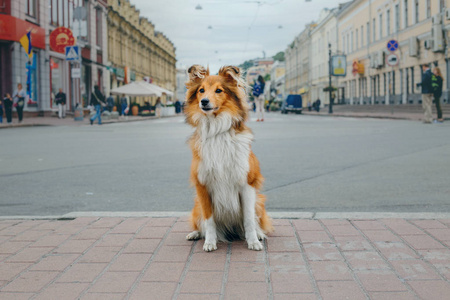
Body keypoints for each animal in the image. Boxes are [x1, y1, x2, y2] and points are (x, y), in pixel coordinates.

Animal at [184, 65, 274, 251]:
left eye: (219, 90)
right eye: (201, 90)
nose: (204, 101)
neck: (217, 130)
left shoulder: (246, 184)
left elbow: (249, 219)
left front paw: (253, 241)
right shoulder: (203, 186)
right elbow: (209, 220)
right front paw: (210, 242)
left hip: (259, 201)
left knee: (256, 221)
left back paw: (259, 234)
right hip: (196, 205)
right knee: (199, 223)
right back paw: (195, 234)